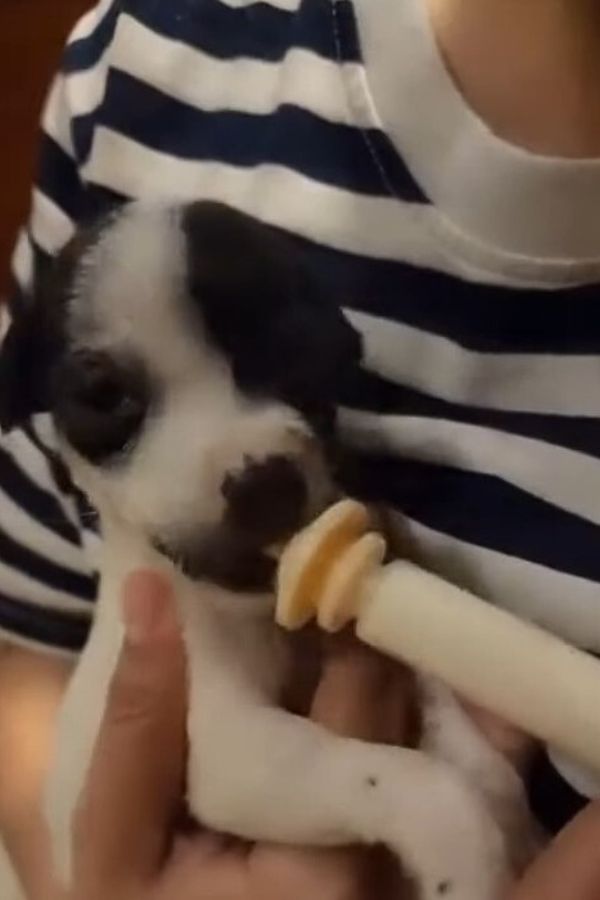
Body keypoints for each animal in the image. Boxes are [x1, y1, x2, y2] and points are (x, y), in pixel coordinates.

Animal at [2, 202, 532, 900]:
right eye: (107, 400)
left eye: (298, 350)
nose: (263, 484)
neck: (262, 616)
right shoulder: (229, 752)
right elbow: (395, 775)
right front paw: (465, 851)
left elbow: (441, 701)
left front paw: (496, 789)